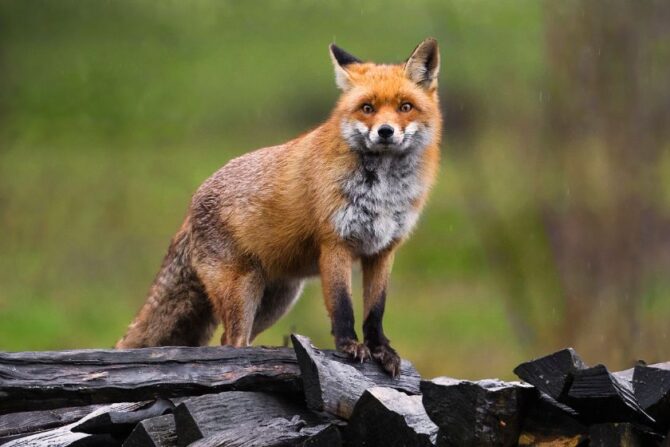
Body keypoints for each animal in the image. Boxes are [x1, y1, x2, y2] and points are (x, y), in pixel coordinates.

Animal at [116, 38, 442, 377]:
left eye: (405, 107)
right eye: (368, 108)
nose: (385, 131)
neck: (384, 192)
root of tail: (192, 203)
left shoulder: (383, 250)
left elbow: (375, 311)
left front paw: (382, 350)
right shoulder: (335, 244)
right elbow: (343, 307)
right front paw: (349, 346)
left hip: (277, 300)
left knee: (228, 340)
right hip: (241, 293)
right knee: (231, 342)